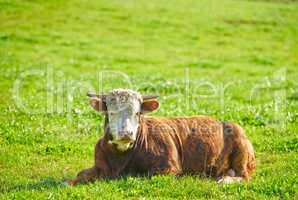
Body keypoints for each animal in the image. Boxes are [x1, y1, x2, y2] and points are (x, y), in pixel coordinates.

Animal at [67, 88, 256, 185]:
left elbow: (141, 175)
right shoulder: (99, 165)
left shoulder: (168, 168)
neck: (121, 158)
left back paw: (225, 180)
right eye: (111, 112)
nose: (126, 133)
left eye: (137, 113)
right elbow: (79, 175)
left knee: (243, 176)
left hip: (240, 144)